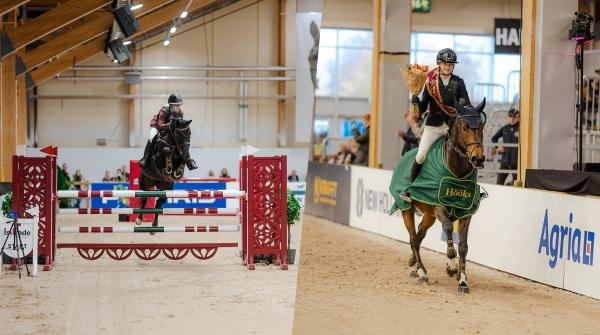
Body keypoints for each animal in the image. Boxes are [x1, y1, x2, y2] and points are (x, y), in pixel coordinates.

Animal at [390, 98, 488, 294]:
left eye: (481, 125)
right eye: (465, 126)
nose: (478, 159)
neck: (456, 172)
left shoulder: (466, 212)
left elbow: (463, 246)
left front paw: (462, 280)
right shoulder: (438, 206)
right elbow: (449, 228)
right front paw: (451, 266)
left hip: (429, 215)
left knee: (419, 235)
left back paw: (414, 263)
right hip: (407, 209)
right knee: (413, 238)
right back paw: (421, 273)